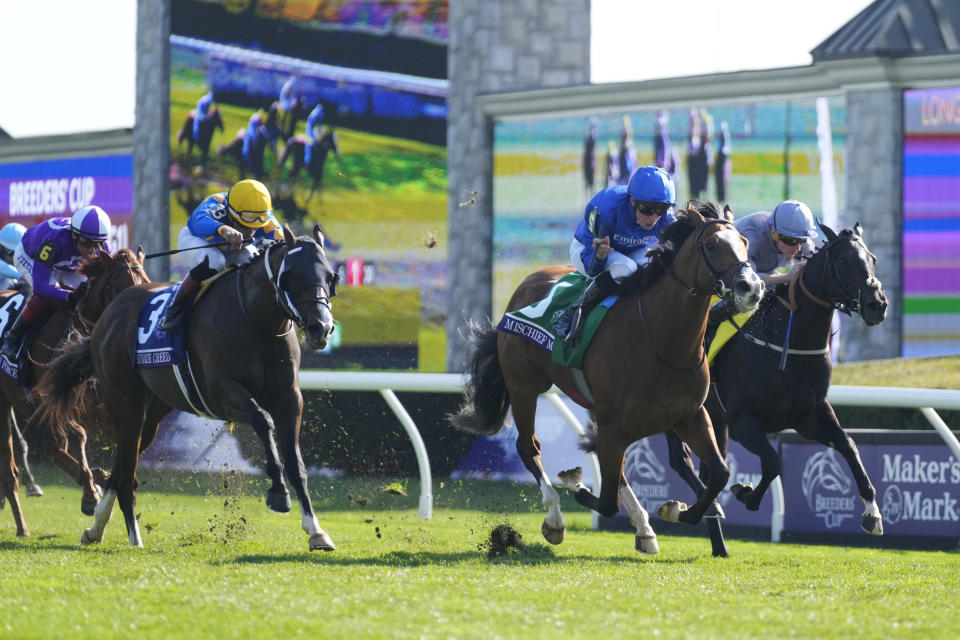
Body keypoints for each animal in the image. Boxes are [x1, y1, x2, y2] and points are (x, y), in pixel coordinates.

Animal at [0, 248, 149, 536]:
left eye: (145, 280)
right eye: (118, 286)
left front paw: (101, 480)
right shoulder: (48, 400)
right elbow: (78, 436)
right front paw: (91, 492)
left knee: (49, 450)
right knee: (11, 471)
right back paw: (22, 527)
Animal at [36, 225, 338, 552]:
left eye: (330, 277)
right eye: (291, 274)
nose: (321, 328)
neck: (256, 319)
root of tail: (108, 315)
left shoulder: (289, 398)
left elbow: (296, 462)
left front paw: (317, 531)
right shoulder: (222, 392)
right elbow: (262, 420)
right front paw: (278, 493)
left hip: (152, 415)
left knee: (120, 468)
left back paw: (96, 529)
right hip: (126, 403)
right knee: (126, 471)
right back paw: (134, 537)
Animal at [450, 202, 764, 552]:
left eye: (744, 243)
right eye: (711, 245)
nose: (752, 288)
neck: (662, 341)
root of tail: (524, 286)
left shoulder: (689, 416)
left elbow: (720, 473)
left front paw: (677, 510)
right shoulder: (614, 424)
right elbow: (606, 500)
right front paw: (577, 484)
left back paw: (645, 529)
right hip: (524, 387)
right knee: (528, 447)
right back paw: (556, 518)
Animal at [668, 222, 884, 556]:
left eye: (872, 259)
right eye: (844, 260)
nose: (878, 304)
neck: (790, 341)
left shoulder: (809, 416)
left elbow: (848, 445)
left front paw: (872, 513)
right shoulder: (743, 421)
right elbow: (772, 462)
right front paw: (745, 494)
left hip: (714, 421)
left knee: (710, 465)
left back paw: (717, 538)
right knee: (681, 461)